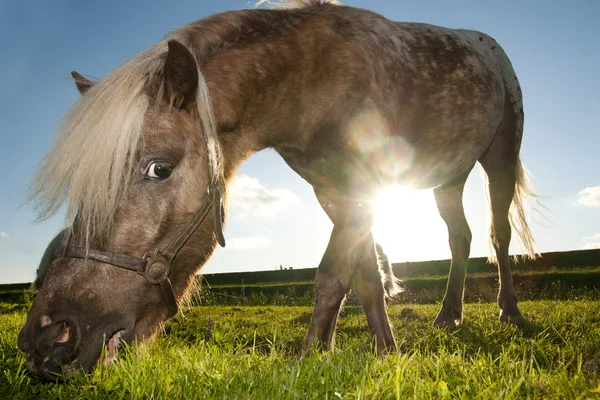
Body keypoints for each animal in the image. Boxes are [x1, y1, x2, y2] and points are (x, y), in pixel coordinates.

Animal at [18, 0, 536, 382]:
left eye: (158, 168)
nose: (47, 339)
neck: (314, 75)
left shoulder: (361, 183)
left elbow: (332, 274)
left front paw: (310, 359)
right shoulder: (334, 190)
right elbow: (364, 274)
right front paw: (379, 349)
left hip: (499, 158)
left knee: (499, 235)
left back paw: (509, 312)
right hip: (449, 178)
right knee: (459, 237)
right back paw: (449, 315)